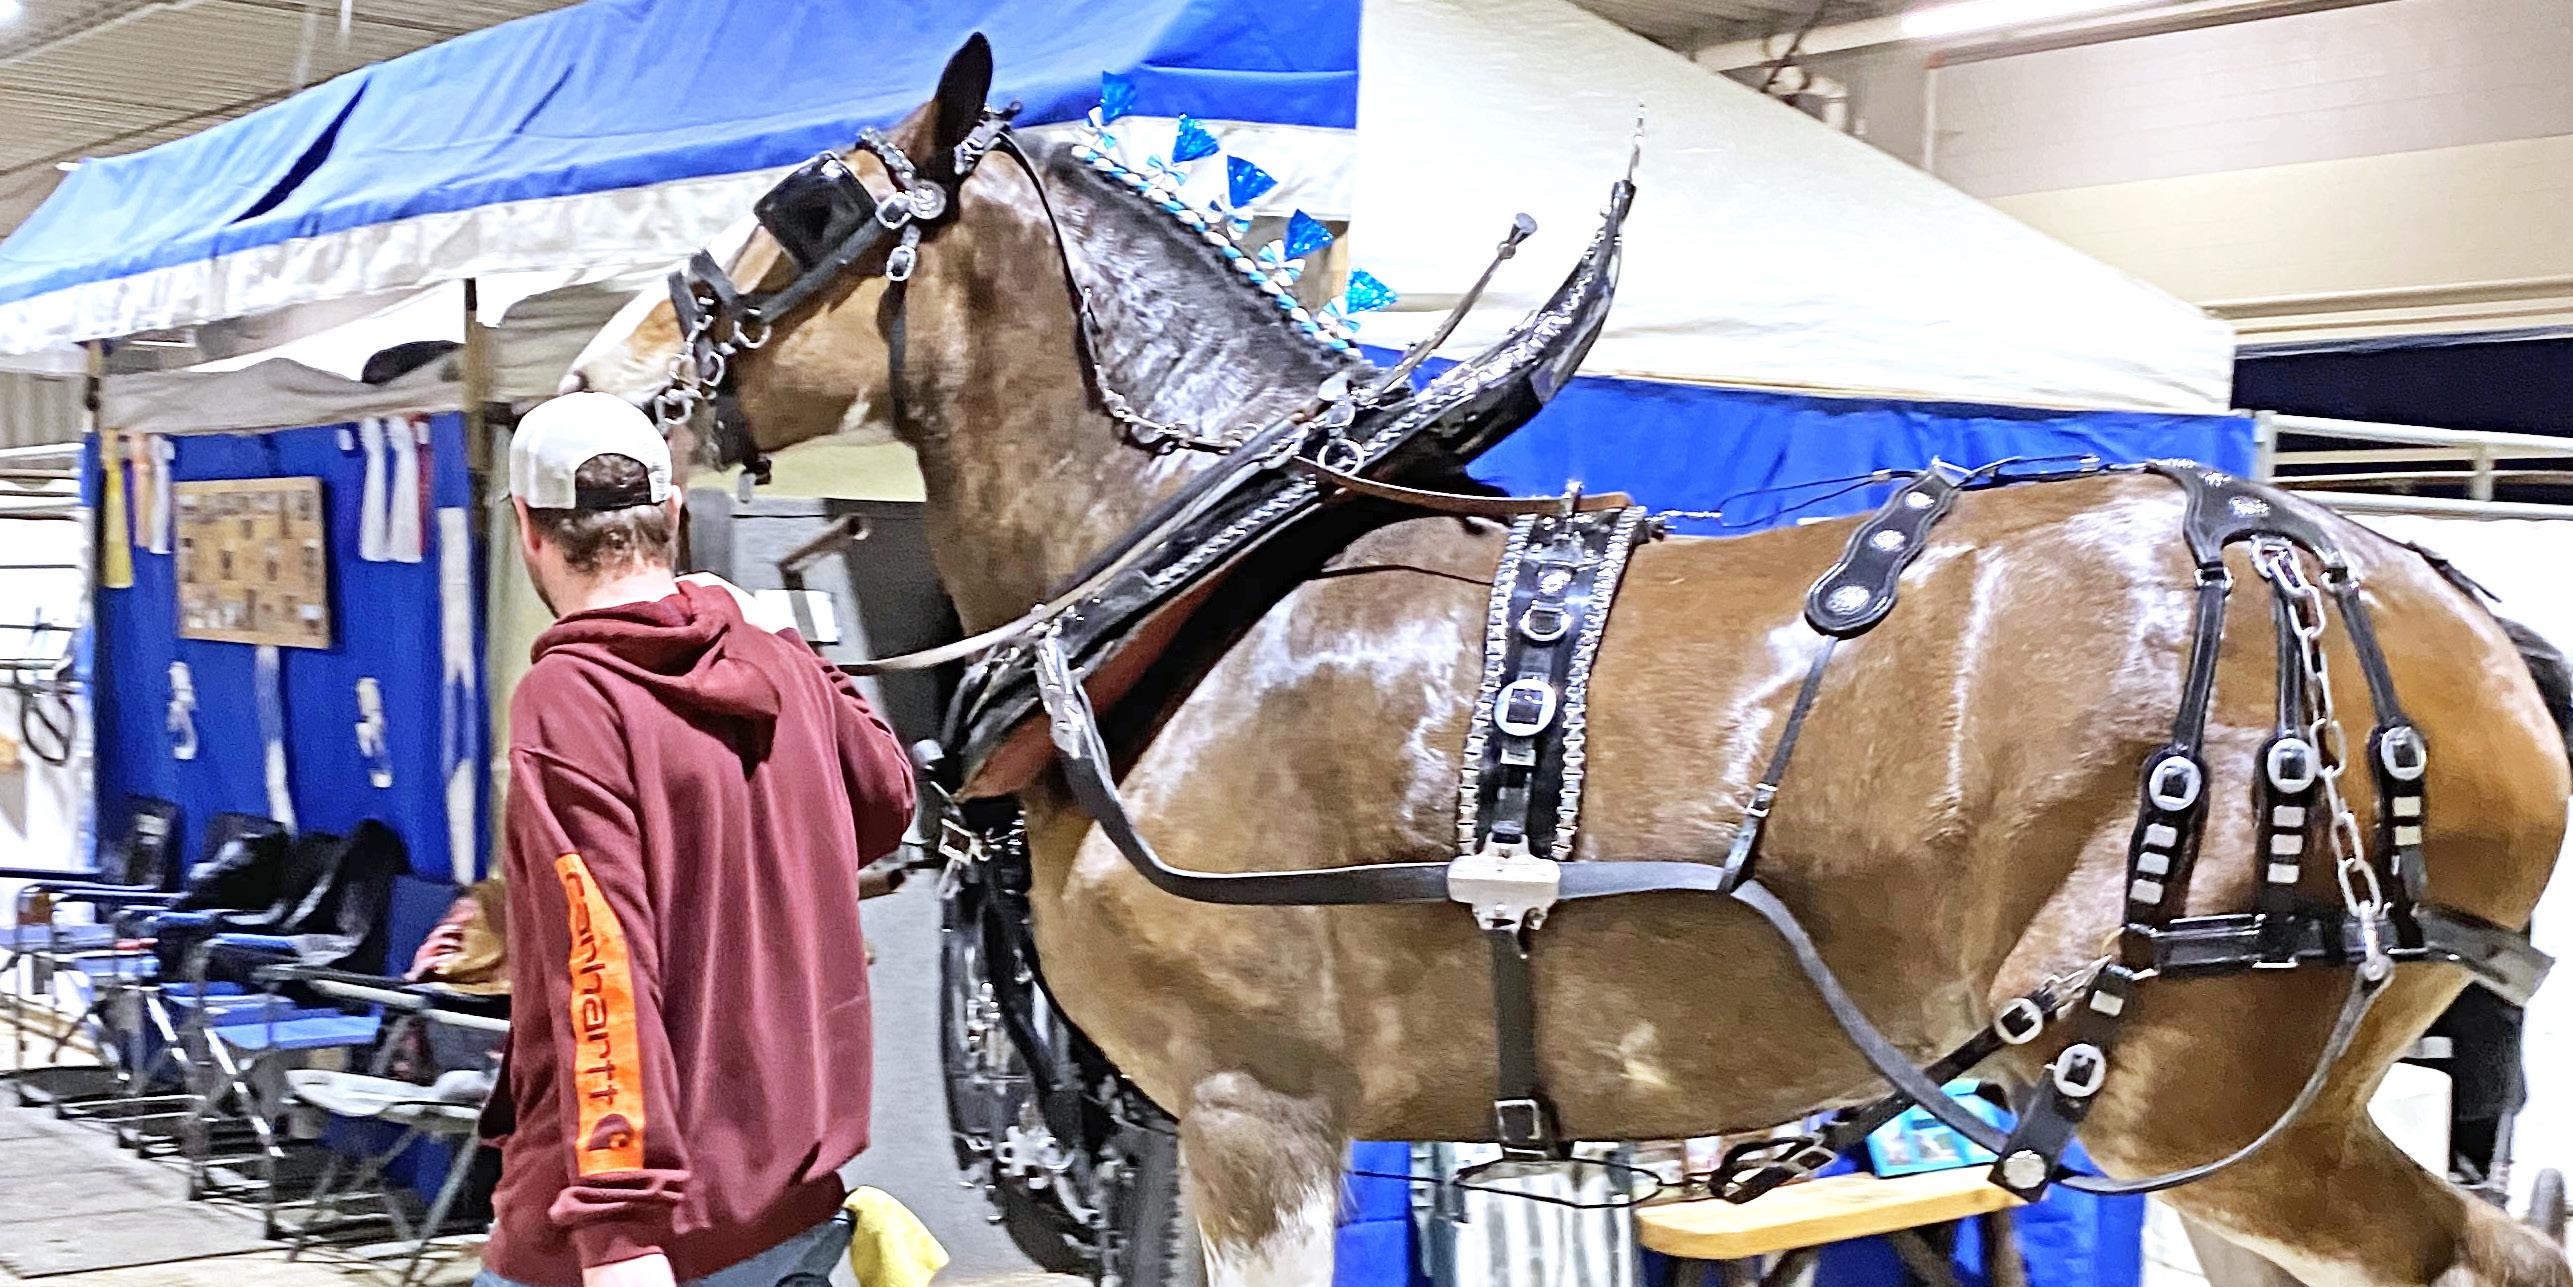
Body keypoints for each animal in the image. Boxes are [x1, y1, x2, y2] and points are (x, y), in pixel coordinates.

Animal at [570, 40, 2573, 1287]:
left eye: (805, 209)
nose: (602, 376)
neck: (1209, 566)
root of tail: (2423, 586)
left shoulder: (1250, 1113)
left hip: (2205, 1090)